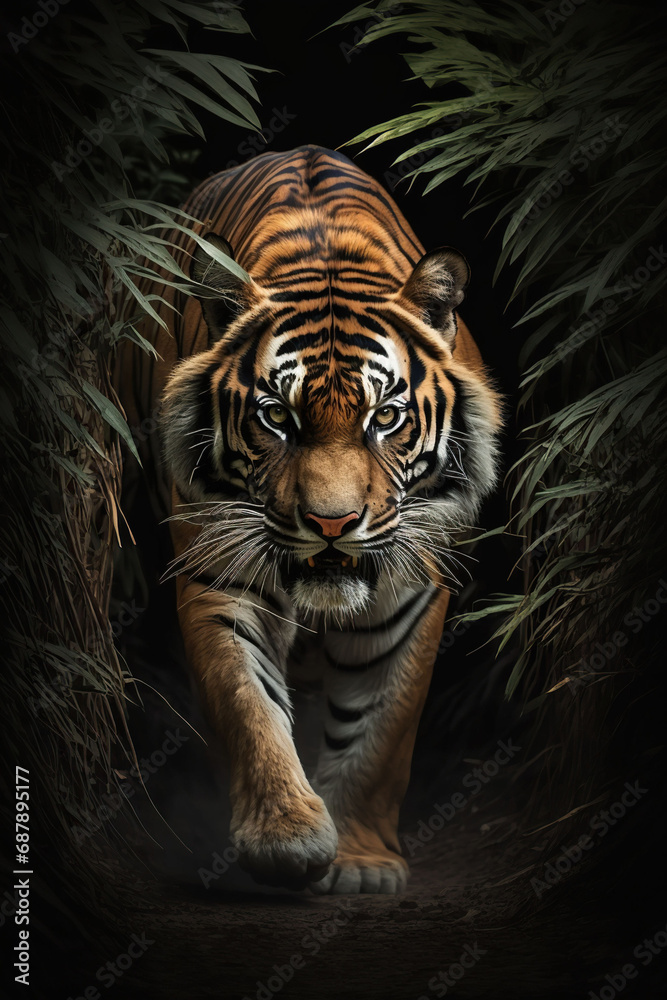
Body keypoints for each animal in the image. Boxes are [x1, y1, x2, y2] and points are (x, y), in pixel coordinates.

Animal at [114, 145, 502, 894]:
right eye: (276, 417)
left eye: (386, 417)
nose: (332, 523)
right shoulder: (219, 572)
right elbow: (246, 701)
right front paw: (285, 838)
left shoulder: (411, 594)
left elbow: (381, 731)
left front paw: (360, 861)